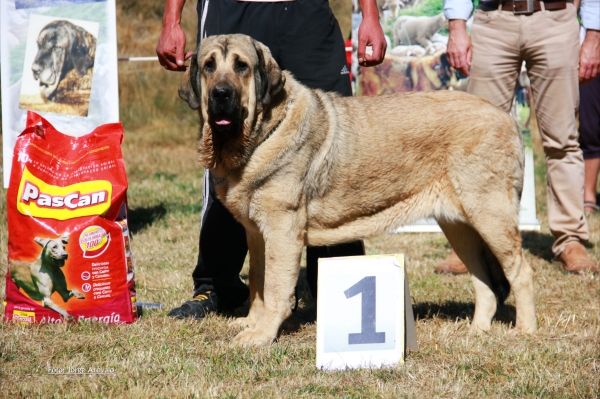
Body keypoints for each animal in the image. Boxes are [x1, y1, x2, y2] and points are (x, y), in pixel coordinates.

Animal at [180, 35, 536, 346]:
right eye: (209, 66)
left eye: (241, 66)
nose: (221, 94)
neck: (261, 133)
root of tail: (507, 119)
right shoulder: (256, 233)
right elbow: (257, 282)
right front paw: (252, 323)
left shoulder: (282, 230)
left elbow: (276, 287)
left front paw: (262, 334)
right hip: (459, 226)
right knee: (484, 282)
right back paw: (477, 331)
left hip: (490, 216)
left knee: (520, 272)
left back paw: (524, 331)